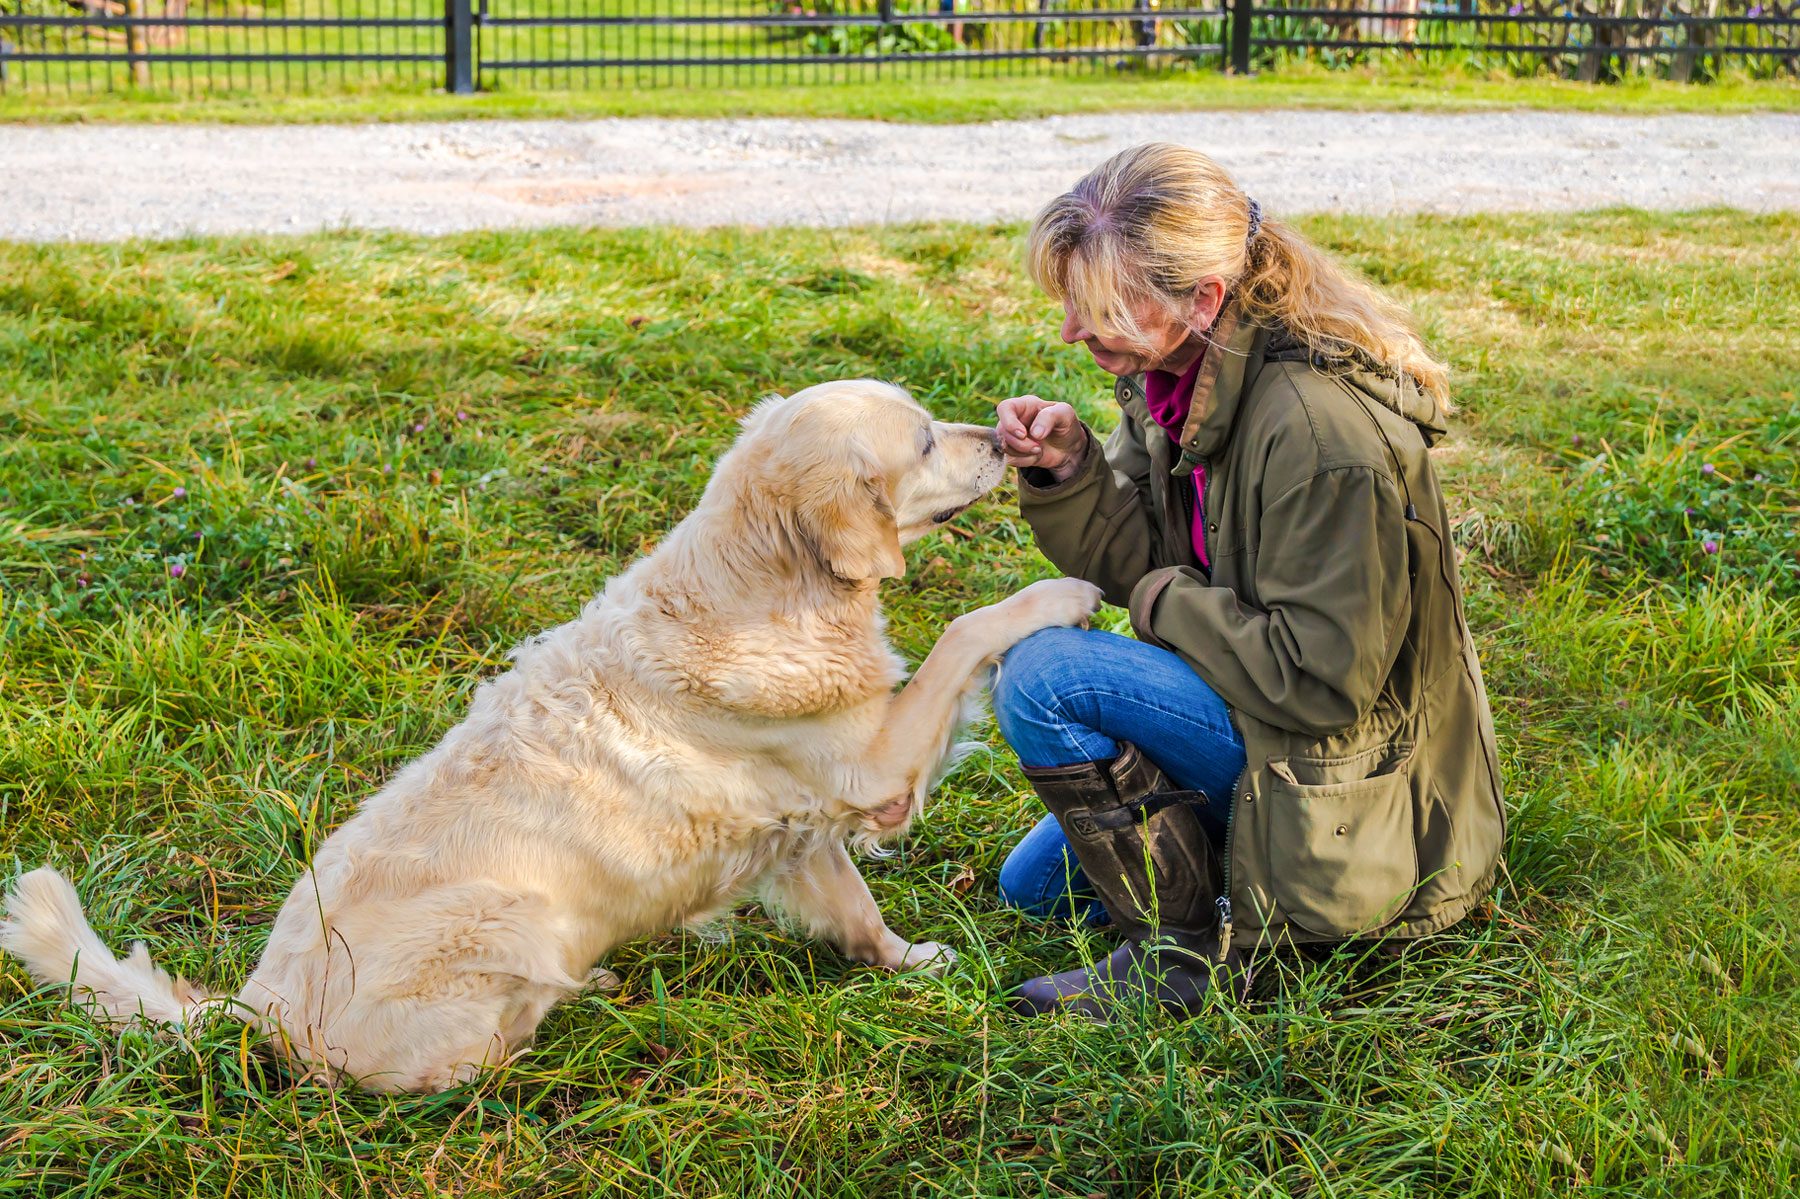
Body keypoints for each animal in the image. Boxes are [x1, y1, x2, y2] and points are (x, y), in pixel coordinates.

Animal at [0, 378, 1101, 1087]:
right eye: (924, 442)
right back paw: (573, 1008)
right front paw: (1061, 593)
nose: (1003, 435)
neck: (772, 586)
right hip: (508, 917)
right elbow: (966, 630)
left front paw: (907, 958)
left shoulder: (805, 818)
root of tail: (260, 1004)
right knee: (464, 1065)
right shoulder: (868, 762)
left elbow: (854, 906)